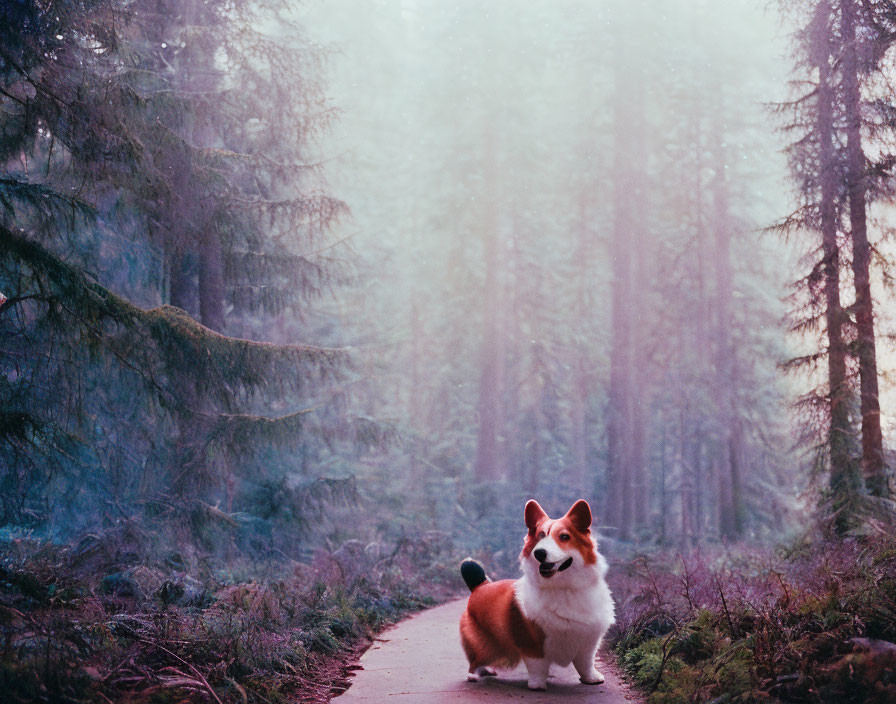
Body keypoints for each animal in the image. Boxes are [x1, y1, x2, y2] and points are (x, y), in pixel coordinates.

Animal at [458, 498, 612, 692]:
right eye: (540, 535)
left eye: (564, 537)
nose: (539, 553)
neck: (563, 587)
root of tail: (480, 585)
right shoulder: (532, 642)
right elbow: (537, 666)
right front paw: (537, 685)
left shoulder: (587, 641)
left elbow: (586, 663)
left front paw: (592, 679)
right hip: (484, 644)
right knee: (475, 658)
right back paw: (474, 675)